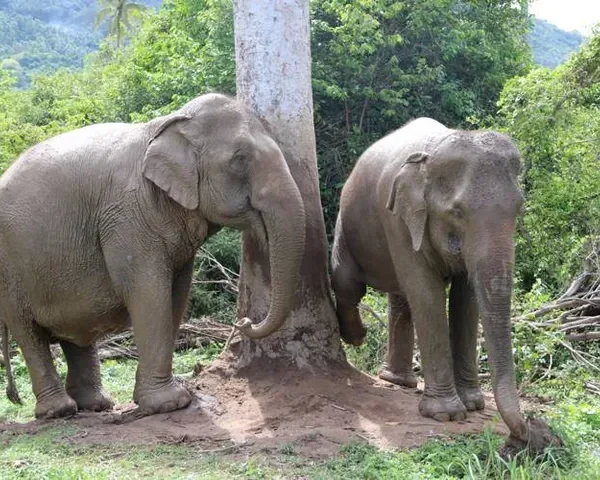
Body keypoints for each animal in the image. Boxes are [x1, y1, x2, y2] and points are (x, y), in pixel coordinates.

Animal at [0, 92, 304, 418]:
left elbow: (176, 296)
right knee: (28, 333)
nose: (243, 322)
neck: (168, 124)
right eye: (240, 159)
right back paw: (59, 411)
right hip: (9, 271)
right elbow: (148, 293)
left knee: (74, 332)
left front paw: (162, 398)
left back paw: (96, 405)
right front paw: (170, 403)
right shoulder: (127, 217)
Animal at [332, 118, 544, 448]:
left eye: (519, 209)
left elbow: (465, 299)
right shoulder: (397, 219)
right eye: (457, 212)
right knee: (347, 281)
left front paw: (473, 404)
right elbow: (427, 293)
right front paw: (446, 414)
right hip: (348, 221)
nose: (528, 434)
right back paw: (359, 338)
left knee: (400, 297)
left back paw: (398, 381)